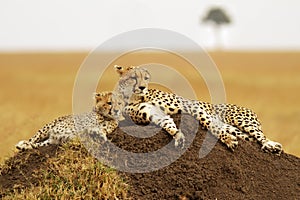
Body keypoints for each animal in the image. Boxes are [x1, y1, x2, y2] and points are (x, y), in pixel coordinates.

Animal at [113, 64, 282, 155]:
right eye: (133, 77)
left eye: (146, 78)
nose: (142, 87)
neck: (134, 97)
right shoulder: (153, 113)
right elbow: (168, 124)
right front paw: (179, 137)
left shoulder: (189, 106)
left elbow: (208, 123)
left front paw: (227, 140)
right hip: (237, 129)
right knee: (250, 138)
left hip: (240, 120)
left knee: (260, 135)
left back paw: (271, 146)